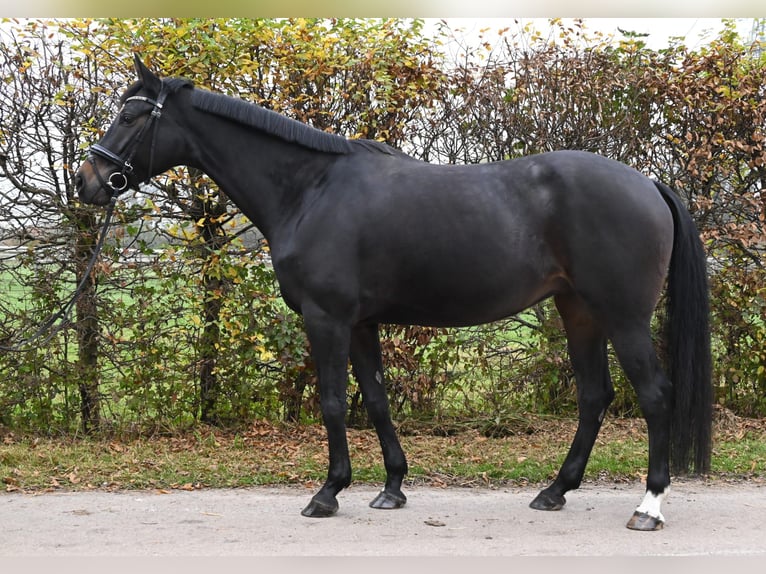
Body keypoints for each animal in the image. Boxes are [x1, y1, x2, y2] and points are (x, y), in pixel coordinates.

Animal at [78, 56, 712, 532]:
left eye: (131, 114)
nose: (89, 183)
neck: (311, 190)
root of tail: (648, 183)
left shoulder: (326, 319)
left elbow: (334, 403)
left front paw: (327, 493)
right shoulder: (361, 323)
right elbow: (376, 400)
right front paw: (391, 487)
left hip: (623, 316)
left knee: (653, 396)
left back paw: (648, 506)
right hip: (577, 310)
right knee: (594, 396)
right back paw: (555, 490)